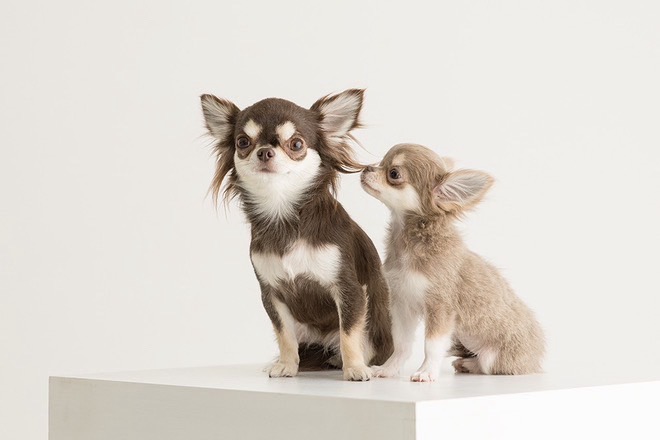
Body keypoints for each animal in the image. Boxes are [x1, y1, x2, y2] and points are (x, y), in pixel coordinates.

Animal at [200, 89, 393, 381]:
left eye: (297, 144)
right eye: (243, 142)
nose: (264, 152)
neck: (284, 215)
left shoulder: (349, 290)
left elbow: (349, 333)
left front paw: (355, 369)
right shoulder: (272, 294)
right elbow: (284, 335)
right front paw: (287, 366)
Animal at [361, 143, 545, 381]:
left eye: (393, 173)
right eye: (380, 162)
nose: (366, 168)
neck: (408, 243)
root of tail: (536, 358)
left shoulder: (441, 309)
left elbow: (431, 345)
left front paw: (426, 372)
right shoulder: (402, 304)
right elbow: (402, 344)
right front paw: (388, 369)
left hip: (494, 356)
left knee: (487, 366)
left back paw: (470, 365)